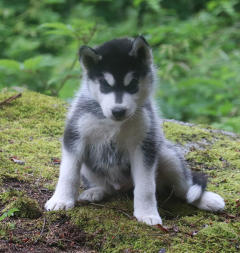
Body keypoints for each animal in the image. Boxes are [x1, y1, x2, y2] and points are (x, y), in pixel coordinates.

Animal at [44, 36, 225, 225]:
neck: (113, 123)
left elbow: (146, 186)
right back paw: (96, 191)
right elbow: (68, 173)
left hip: (167, 155)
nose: (118, 111)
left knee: (184, 188)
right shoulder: (75, 137)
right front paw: (61, 200)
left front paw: (147, 214)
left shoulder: (144, 145)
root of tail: (122, 187)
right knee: (106, 187)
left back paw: (207, 199)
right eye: (105, 85)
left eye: (132, 85)